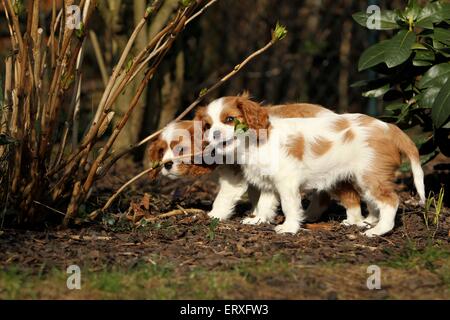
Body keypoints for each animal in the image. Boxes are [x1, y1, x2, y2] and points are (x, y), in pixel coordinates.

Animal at [202, 94, 424, 235]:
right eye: (207, 125)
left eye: (230, 119)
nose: (214, 134)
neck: (254, 143)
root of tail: (388, 127)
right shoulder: (268, 183)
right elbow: (265, 203)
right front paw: (258, 220)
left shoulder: (286, 182)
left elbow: (289, 206)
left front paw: (289, 228)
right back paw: (361, 222)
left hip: (370, 175)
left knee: (390, 200)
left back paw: (379, 230)